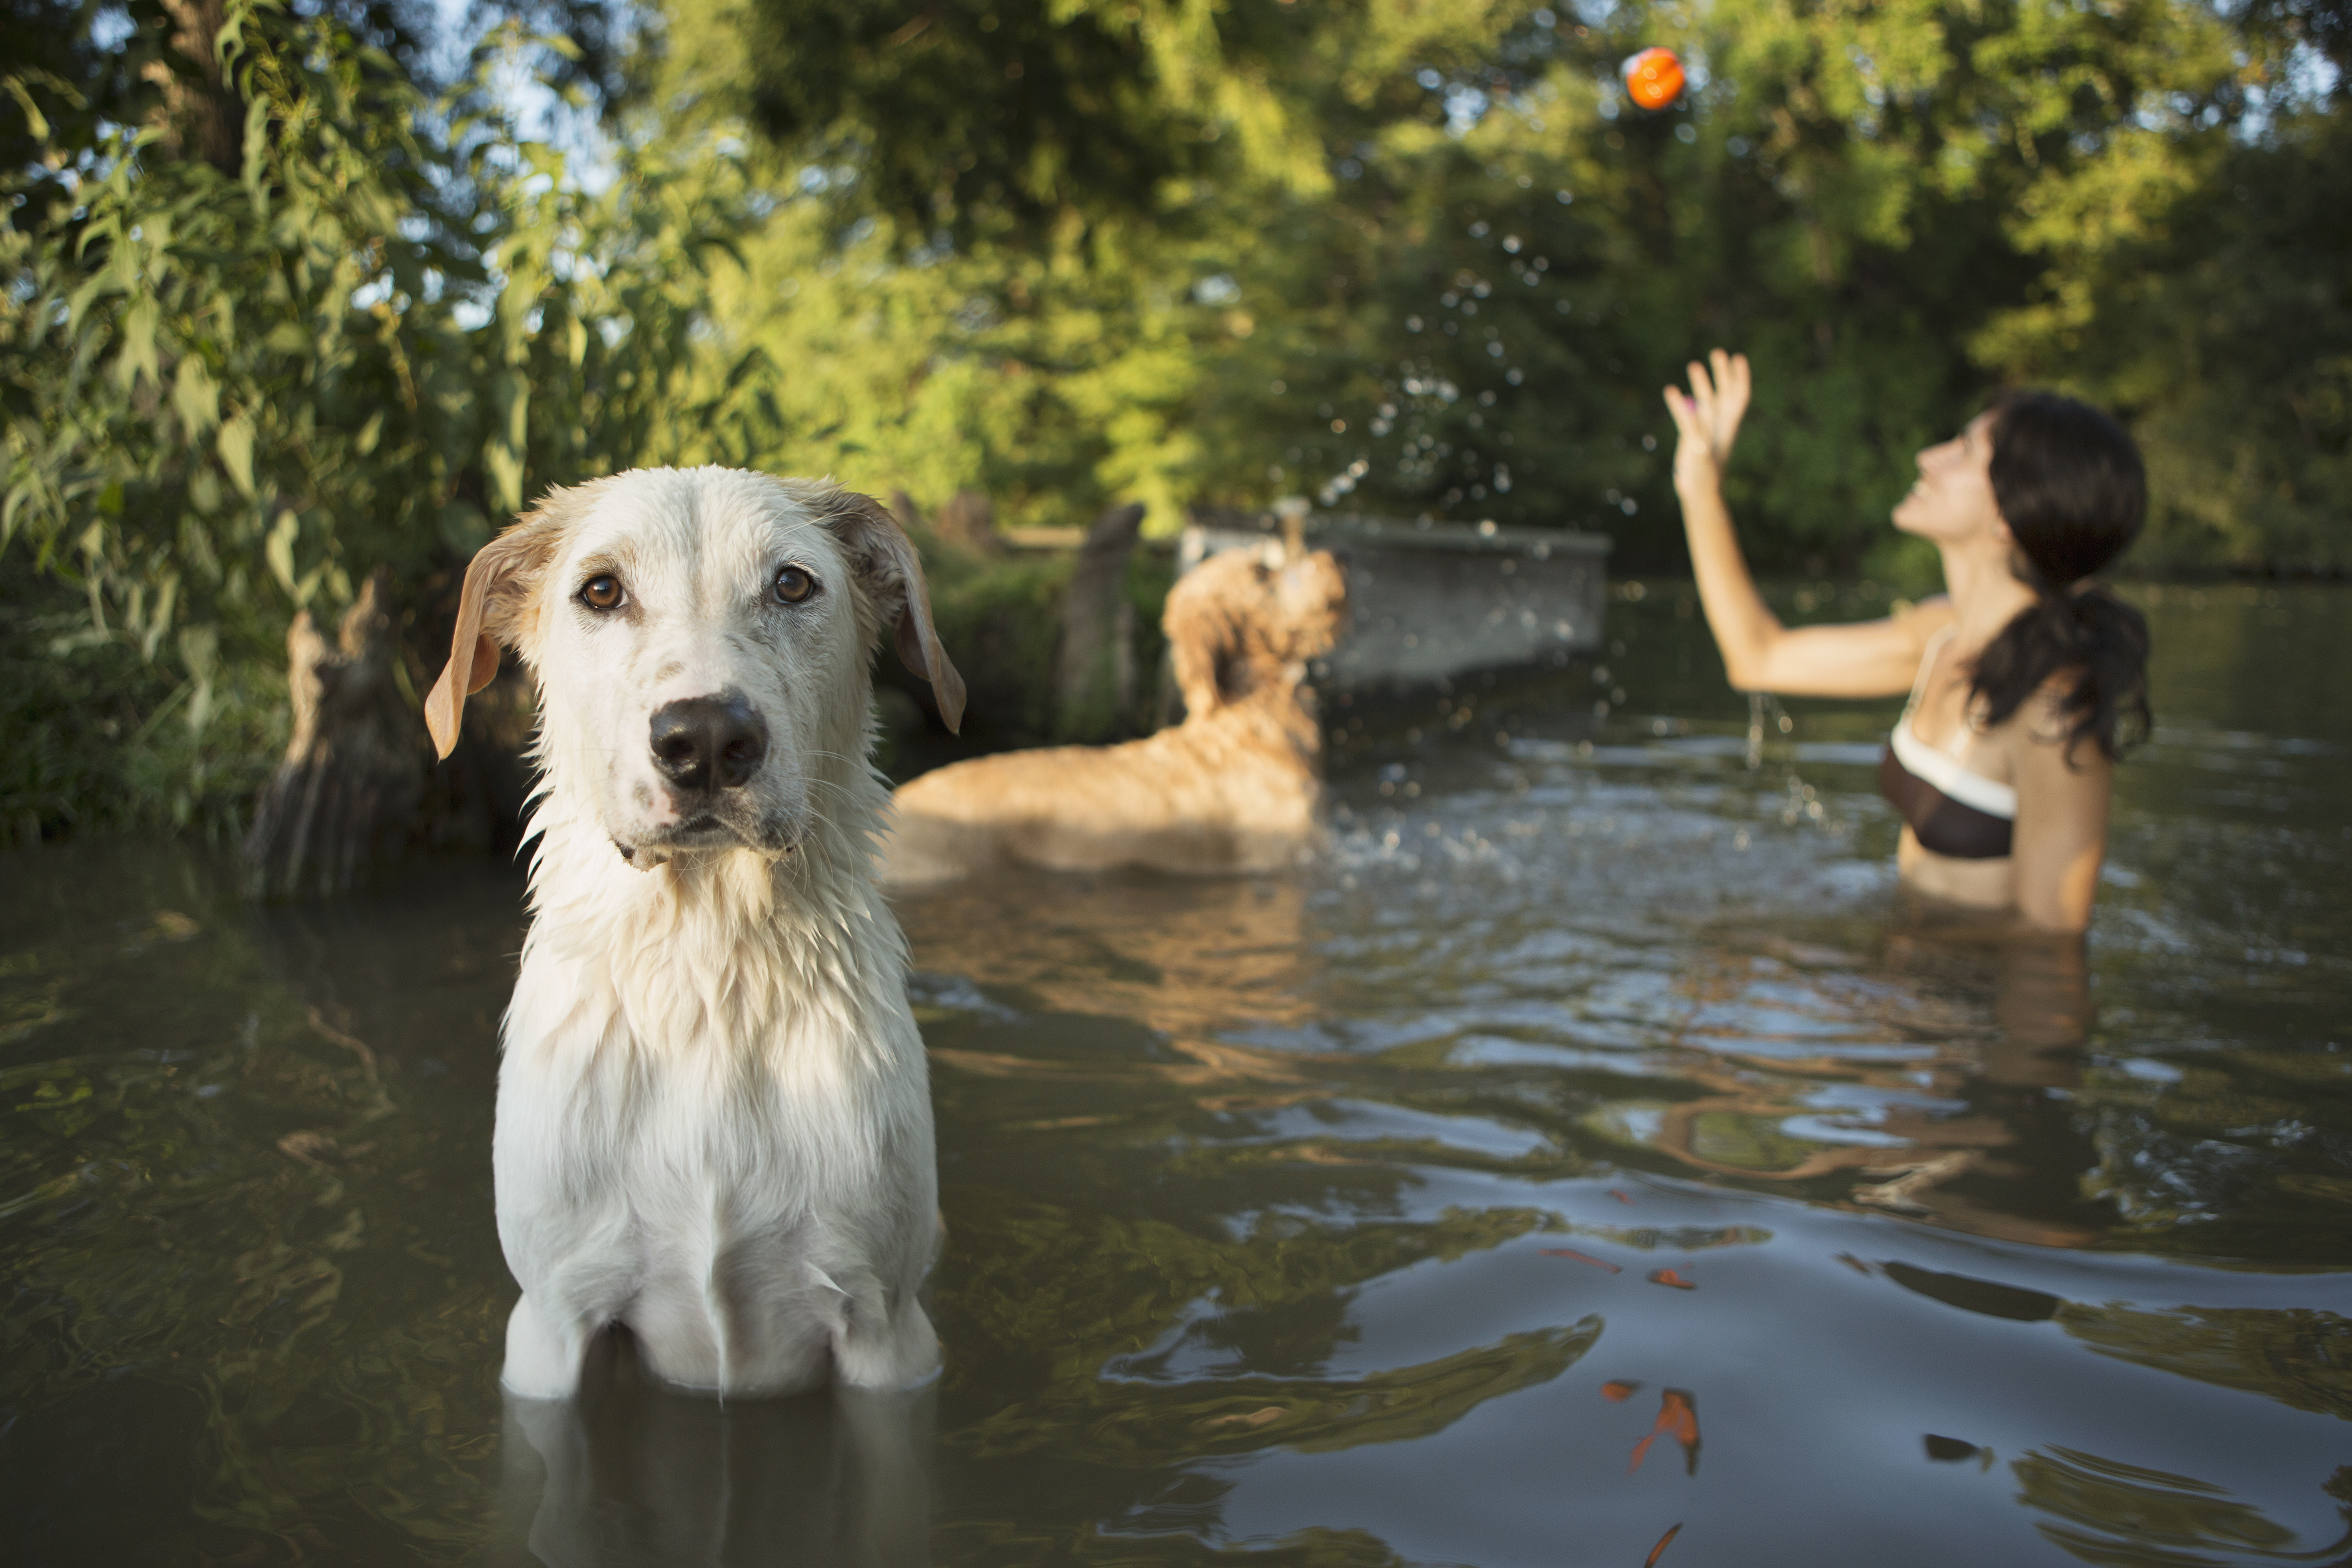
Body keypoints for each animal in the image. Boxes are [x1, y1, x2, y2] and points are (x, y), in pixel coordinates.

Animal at [426, 465, 964, 1401]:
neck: (706, 970)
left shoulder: (887, 1332)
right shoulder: (550, 1326)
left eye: (793, 584)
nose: (706, 737)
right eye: (601, 591)